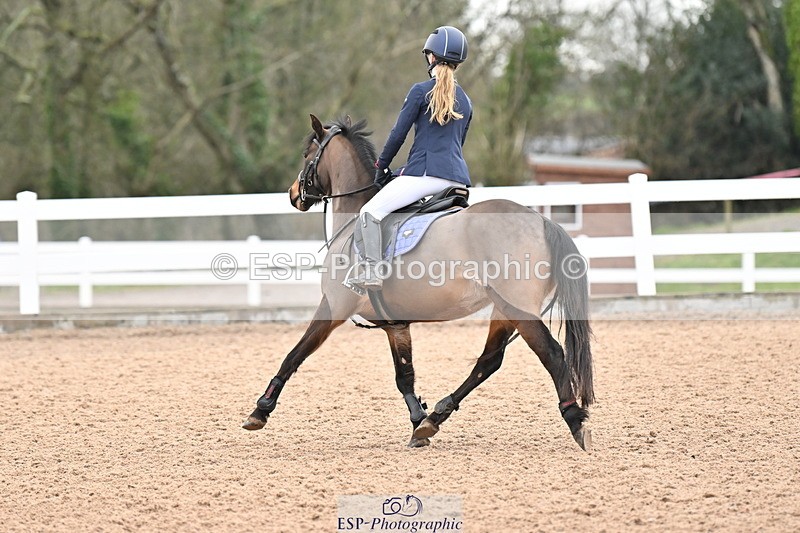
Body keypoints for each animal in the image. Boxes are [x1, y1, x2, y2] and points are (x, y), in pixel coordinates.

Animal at [242, 114, 594, 451]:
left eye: (307, 155)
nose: (293, 195)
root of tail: (542, 220)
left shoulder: (333, 306)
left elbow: (295, 354)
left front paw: (260, 410)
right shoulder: (396, 325)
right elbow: (405, 376)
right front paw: (417, 423)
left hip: (519, 308)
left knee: (552, 354)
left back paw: (575, 420)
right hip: (504, 310)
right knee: (489, 361)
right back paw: (435, 417)